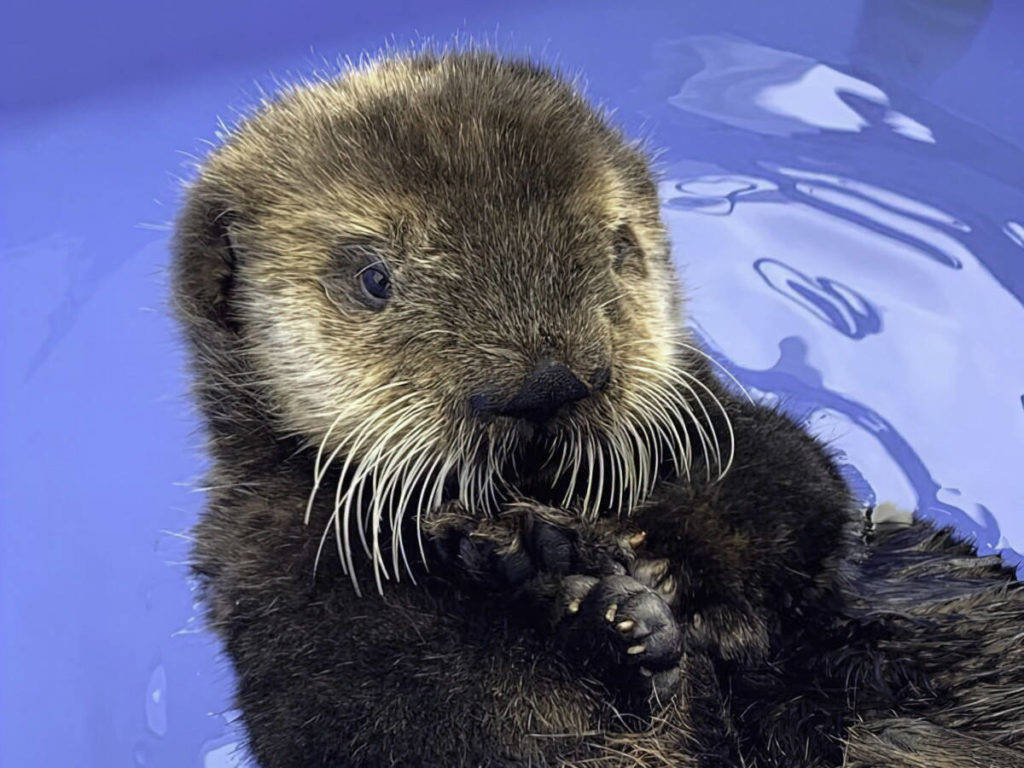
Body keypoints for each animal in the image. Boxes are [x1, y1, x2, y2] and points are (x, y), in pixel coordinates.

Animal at [172, 50, 1024, 767]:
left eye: (619, 250)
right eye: (374, 279)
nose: (548, 385)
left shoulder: (720, 419)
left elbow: (798, 486)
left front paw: (640, 561)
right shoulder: (286, 593)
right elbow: (438, 726)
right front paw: (556, 579)